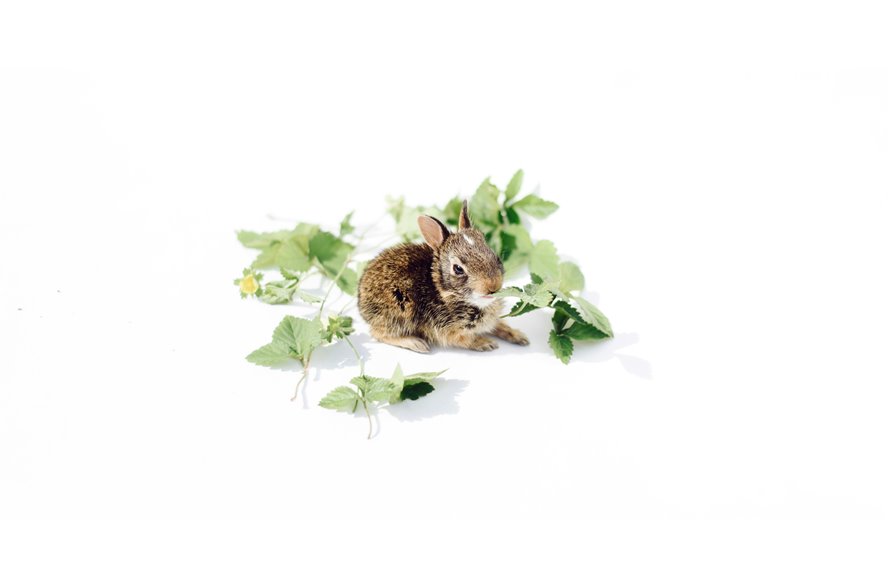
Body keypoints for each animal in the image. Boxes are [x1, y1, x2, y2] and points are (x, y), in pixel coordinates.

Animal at [358, 200, 530, 353]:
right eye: (458, 269)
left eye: (495, 256)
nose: (493, 286)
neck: (445, 292)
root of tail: (361, 298)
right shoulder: (447, 331)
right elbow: (467, 339)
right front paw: (487, 343)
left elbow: (499, 324)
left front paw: (519, 336)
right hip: (398, 311)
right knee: (378, 333)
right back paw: (416, 343)